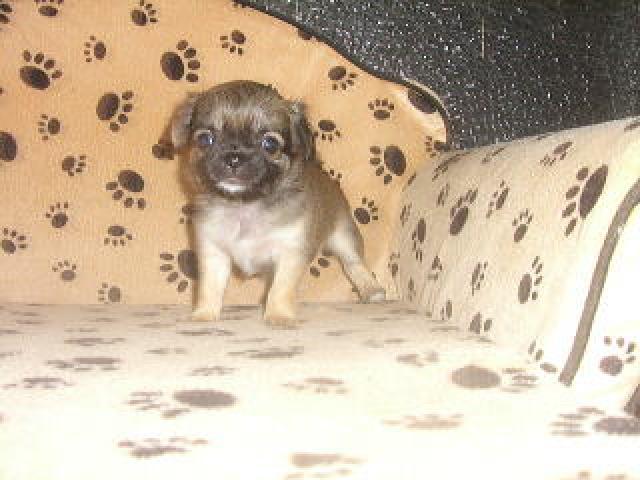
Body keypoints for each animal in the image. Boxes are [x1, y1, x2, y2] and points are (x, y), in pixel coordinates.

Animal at [171, 80, 385, 327]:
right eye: (205, 139)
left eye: (270, 144)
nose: (234, 158)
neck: (244, 206)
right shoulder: (214, 252)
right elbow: (209, 288)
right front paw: (204, 314)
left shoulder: (290, 252)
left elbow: (280, 289)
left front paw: (279, 316)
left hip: (343, 235)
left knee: (354, 263)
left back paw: (371, 290)